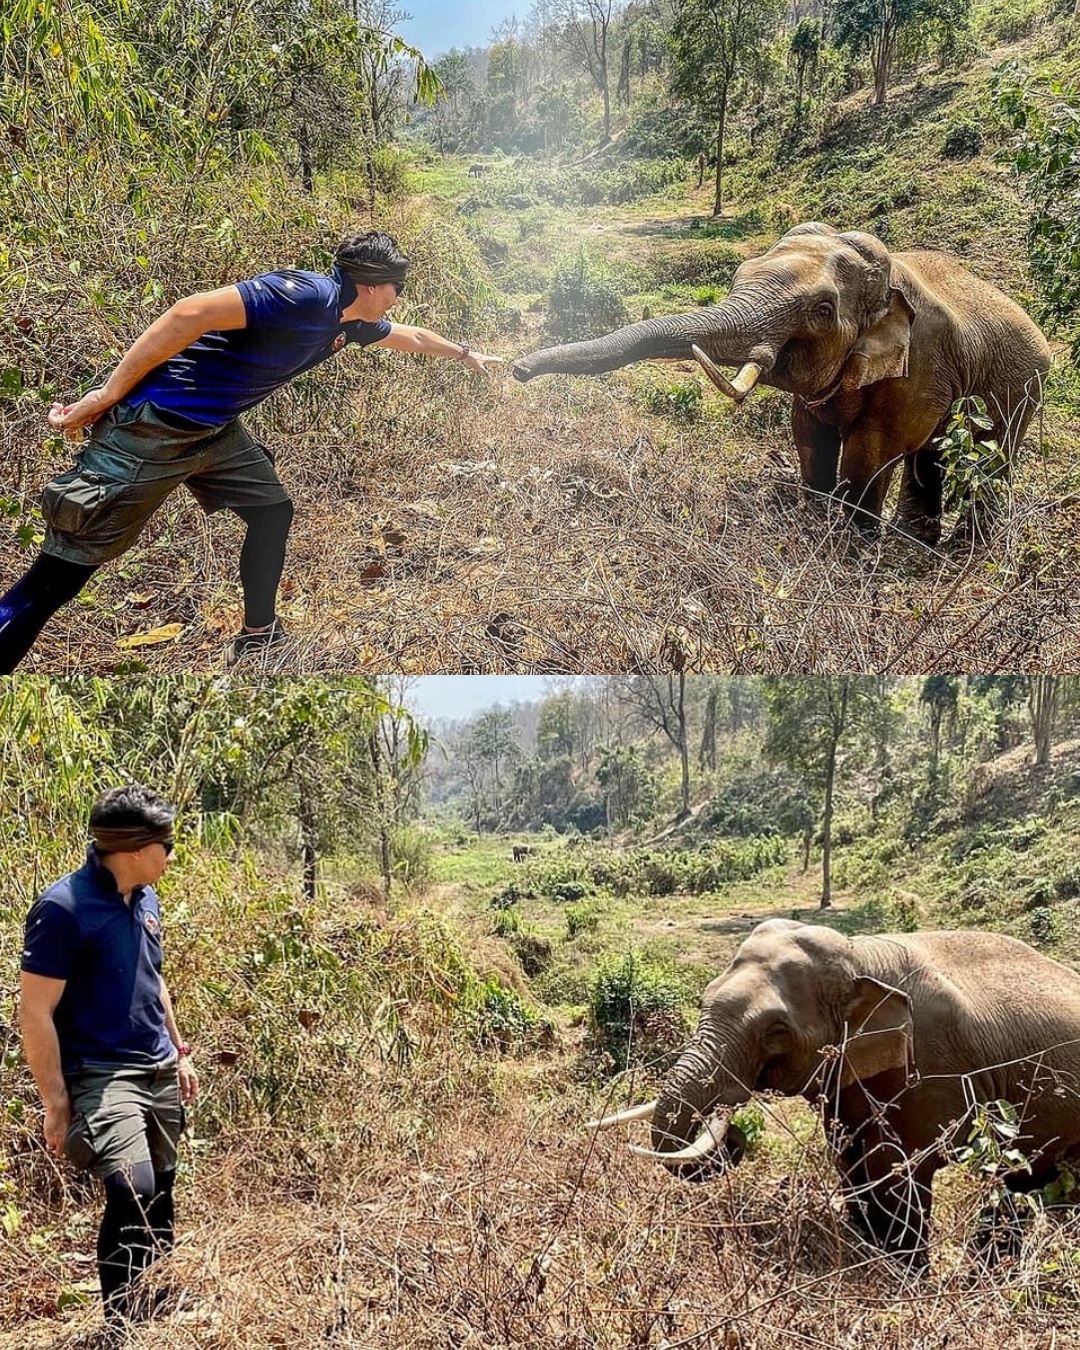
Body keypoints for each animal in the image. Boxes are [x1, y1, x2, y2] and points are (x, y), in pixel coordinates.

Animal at [514, 223, 1051, 543]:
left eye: (823, 310)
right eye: (739, 275)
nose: (517, 369)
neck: (886, 278)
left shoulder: (919, 366)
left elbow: (872, 453)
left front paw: (852, 548)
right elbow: (809, 437)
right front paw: (815, 520)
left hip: (1023, 386)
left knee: (992, 457)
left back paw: (962, 547)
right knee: (932, 457)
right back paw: (919, 540)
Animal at [589, 920, 1080, 1268]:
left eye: (777, 1031)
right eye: (703, 999)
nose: (734, 1138)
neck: (862, 954)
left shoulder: (932, 1068)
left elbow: (895, 1170)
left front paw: (901, 1276)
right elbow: (849, 1158)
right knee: (1024, 1184)